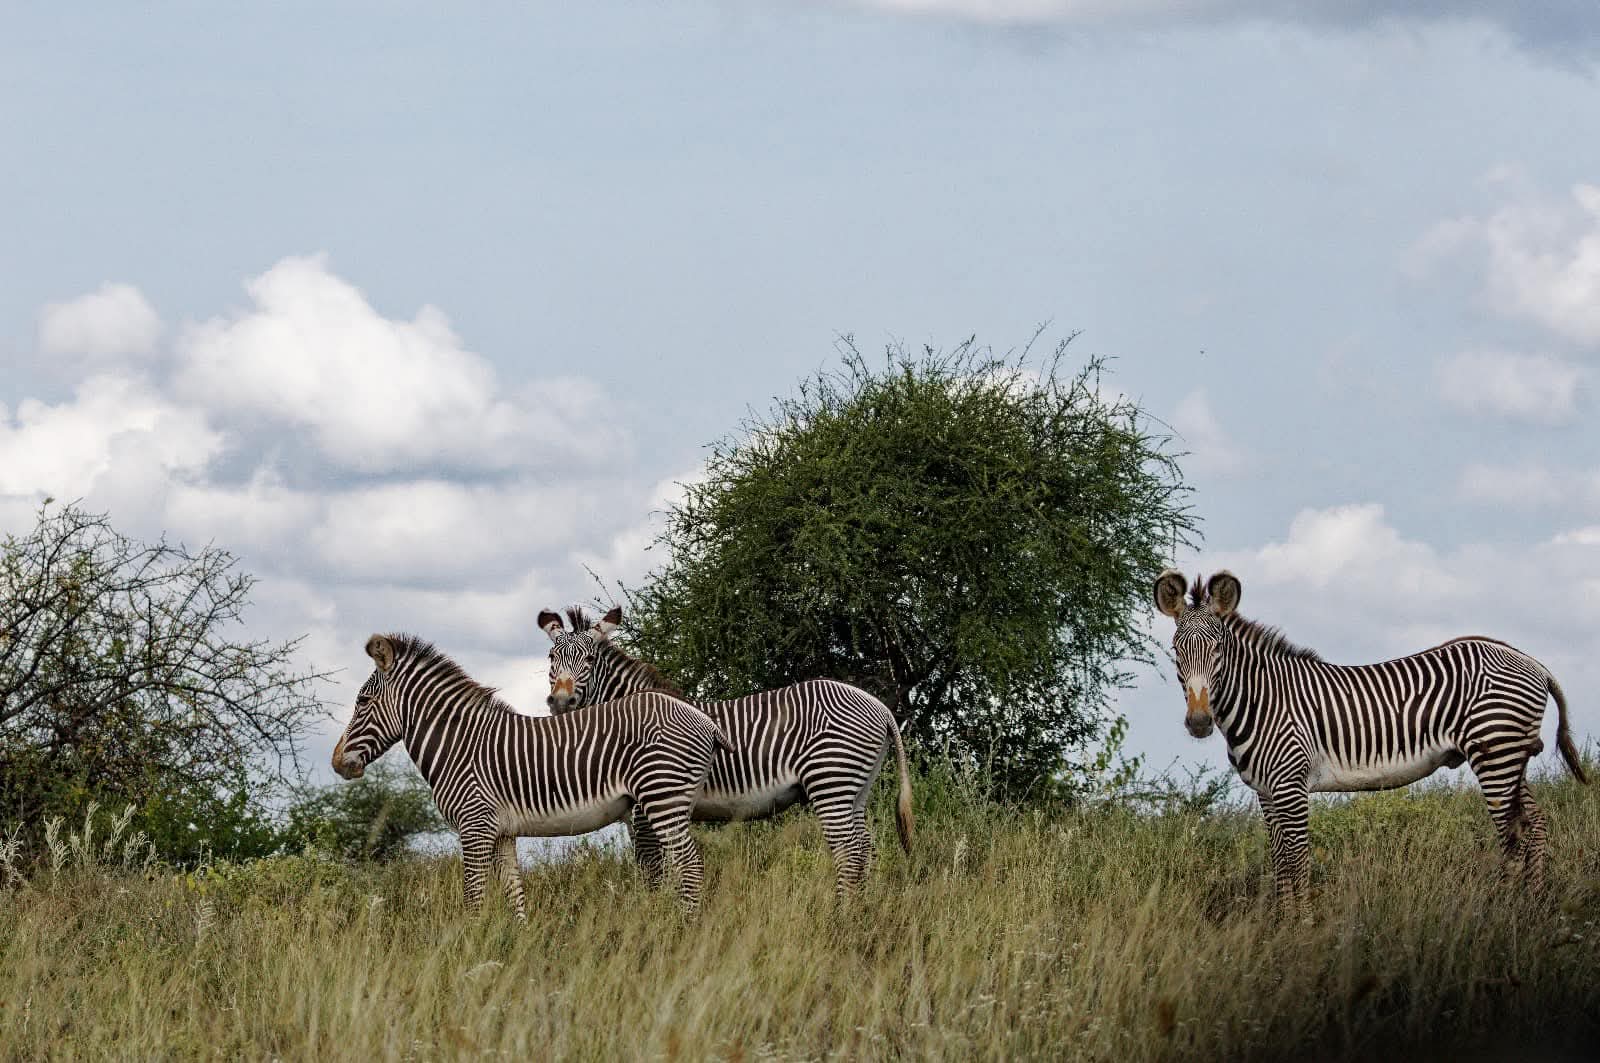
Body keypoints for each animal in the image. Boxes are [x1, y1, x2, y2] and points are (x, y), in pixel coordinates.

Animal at [331, 632, 732, 916]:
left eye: (362, 701)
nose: (337, 763)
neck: (460, 744)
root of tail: (705, 721)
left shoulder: (474, 827)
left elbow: (474, 899)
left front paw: (469, 952)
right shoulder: (501, 833)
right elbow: (515, 898)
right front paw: (510, 951)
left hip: (664, 797)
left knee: (691, 865)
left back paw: (685, 927)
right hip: (666, 802)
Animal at [538, 606, 914, 896]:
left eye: (589, 659)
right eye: (552, 658)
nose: (560, 702)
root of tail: (880, 707)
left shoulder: (645, 807)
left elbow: (652, 870)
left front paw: (655, 915)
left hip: (830, 781)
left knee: (849, 852)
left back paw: (842, 914)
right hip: (856, 788)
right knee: (865, 849)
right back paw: (863, 909)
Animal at [1155, 569, 1587, 910]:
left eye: (1218, 650)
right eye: (1176, 651)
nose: (1199, 722)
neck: (1263, 700)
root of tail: (1530, 661)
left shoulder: (1291, 784)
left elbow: (1297, 858)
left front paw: (1302, 932)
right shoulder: (1266, 790)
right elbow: (1279, 861)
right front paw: (1282, 927)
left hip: (1495, 753)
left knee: (1513, 834)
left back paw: (1504, 912)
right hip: (1512, 755)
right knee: (1535, 824)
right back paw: (1532, 906)